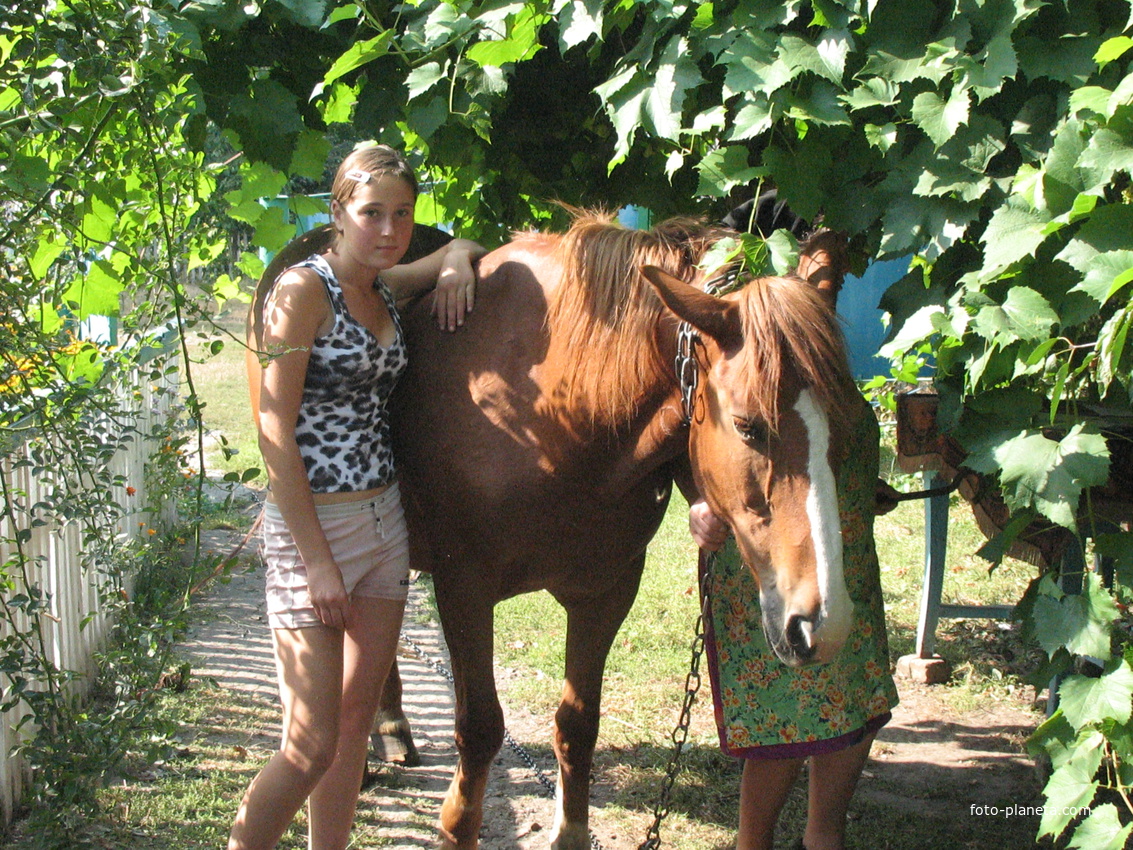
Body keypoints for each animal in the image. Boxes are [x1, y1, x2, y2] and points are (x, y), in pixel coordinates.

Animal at [254, 214, 856, 850]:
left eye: (842, 425)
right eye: (747, 426)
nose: (823, 623)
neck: (553, 414)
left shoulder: (606, 593)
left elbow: (577, 722)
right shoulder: (464, 592)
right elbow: (480, 727)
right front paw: (457, 826)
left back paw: (390, 726)